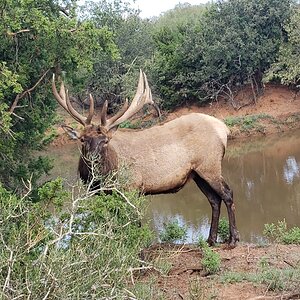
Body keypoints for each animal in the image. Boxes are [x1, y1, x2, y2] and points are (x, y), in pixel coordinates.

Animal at [51, 70, 239, 246]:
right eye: (82, 139)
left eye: (105, 141)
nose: (93, 160)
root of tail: (224, 128)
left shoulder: (132, 186)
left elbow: (134, 223)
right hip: (197, 173)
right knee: (214, 200)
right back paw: (211, 239)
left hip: (210, 164)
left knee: (227, 194)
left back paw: (233, 239)